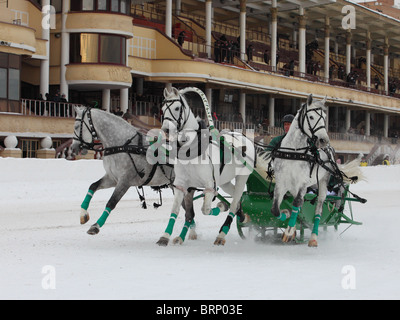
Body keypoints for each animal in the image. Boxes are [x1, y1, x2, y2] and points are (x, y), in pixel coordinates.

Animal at [72, 107, 197, 235]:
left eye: (76, 126)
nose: (73, 147)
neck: (123, 145)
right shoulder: (112, 178)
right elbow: (93, 186)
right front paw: (83, 215)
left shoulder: (125, 181)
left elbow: (111, 202)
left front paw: (96, 225)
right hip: (175, 186)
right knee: (188, 213)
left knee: (190, 213)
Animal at [155, 86, 255, 246]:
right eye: (162, 108)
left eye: (177, 108)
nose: (166, 130)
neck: (192, 149)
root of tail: (244, 137)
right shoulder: (182, 184)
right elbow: (177, 211)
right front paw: (165, 236)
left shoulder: (210, 184)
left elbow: (205, 209)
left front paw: (220, 206)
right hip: (225, 181)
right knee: (237, 198)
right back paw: (242, 215)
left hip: (242, 176)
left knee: (234, 202)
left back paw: (222, 233)